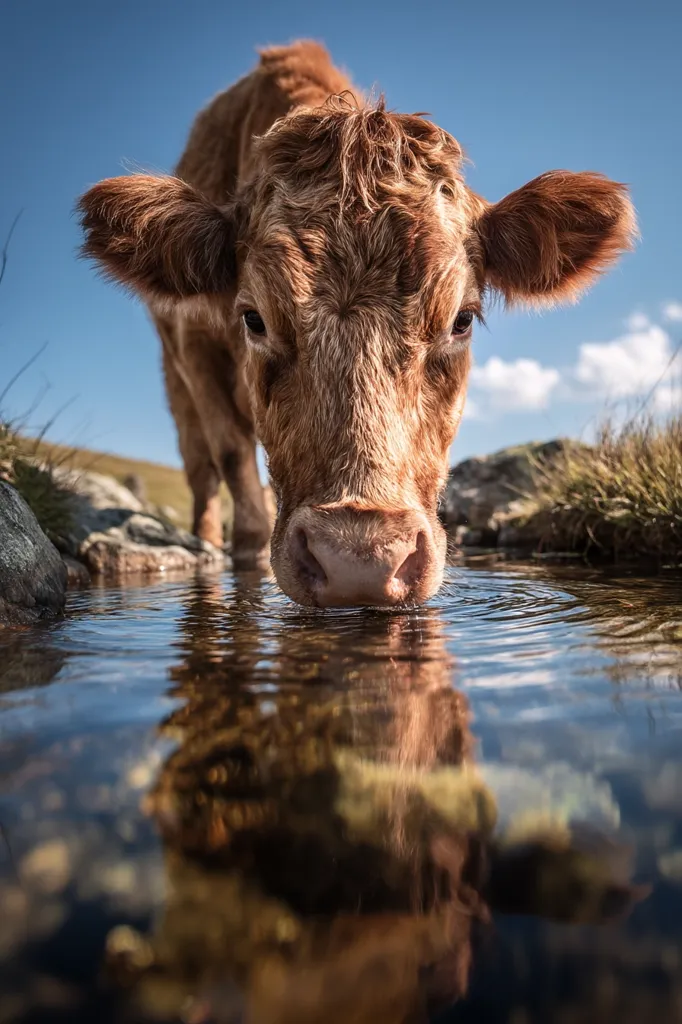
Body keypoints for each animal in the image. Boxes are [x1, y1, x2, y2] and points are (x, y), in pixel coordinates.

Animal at [78, 40, 636, 608]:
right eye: (254, 319)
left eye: (462, 320)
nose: (360, 560)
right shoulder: (195, 348)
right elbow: (232, 456)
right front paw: (245, 555)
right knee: (202, 470)